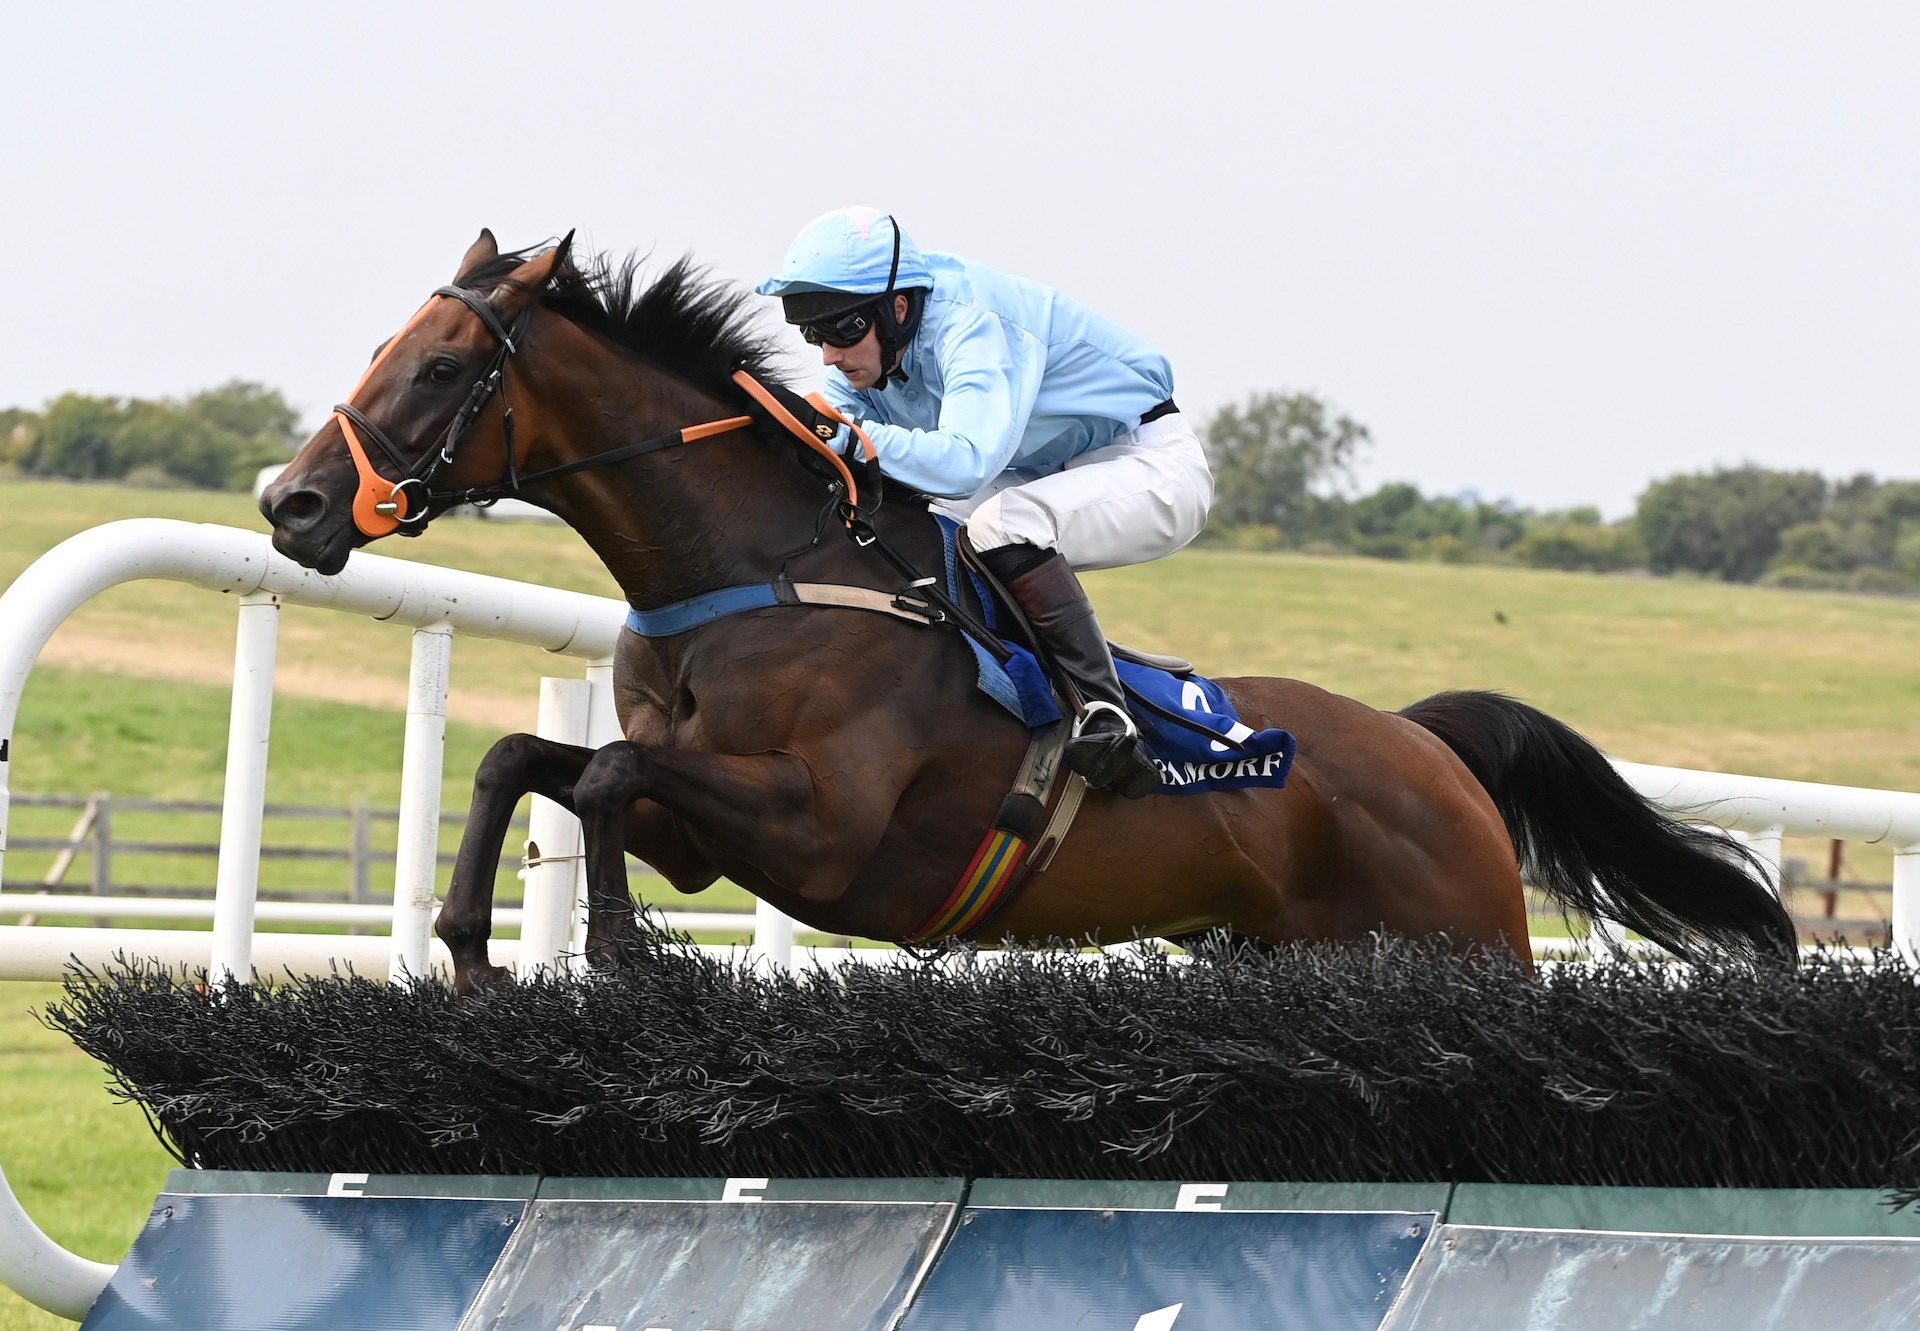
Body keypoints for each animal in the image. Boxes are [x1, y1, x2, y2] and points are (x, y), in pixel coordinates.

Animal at [259, 231, 1797, 998]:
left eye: (440, 366)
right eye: (386, 345)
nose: (294, 502)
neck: (758, 572)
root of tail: (1426, 747)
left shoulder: (822, 827)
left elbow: (609, 773)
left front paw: (624, 954)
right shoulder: (711, 825)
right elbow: (535, 759)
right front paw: (468, 941)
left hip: (1462, 944)